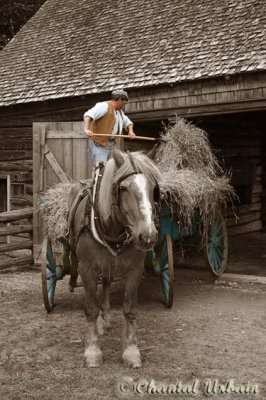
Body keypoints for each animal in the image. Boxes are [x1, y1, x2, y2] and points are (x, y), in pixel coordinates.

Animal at [67, 145, 161, 368]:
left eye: (154, 188)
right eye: (124, 188)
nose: (148, 235)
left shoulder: (135, 269)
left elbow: (130, 309)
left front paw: (131, 350)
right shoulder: (87, 269)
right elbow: (91, 308)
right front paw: (92, 350)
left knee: (107, 282)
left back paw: (105, 319)